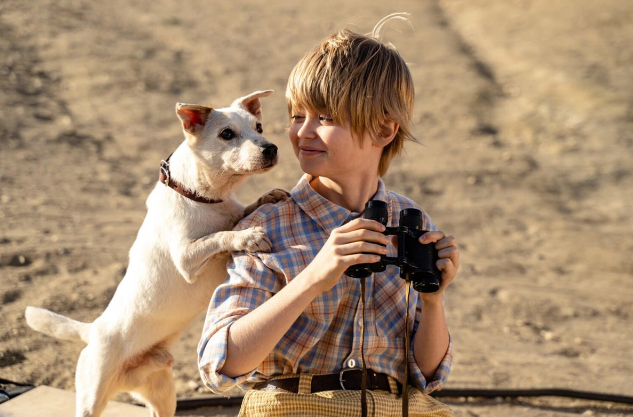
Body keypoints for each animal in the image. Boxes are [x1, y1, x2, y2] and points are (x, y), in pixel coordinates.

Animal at [25, 90, 286, 416]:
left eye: (259, 127)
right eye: (227, 134)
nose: (271, 148)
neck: (200, 197)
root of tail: (93, 330)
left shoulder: (230, 213)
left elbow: (241, 213)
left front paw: (268, 196)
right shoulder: (187, 258)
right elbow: (221, 235)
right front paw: (248, 236)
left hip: (164, 397)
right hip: (91, 398)